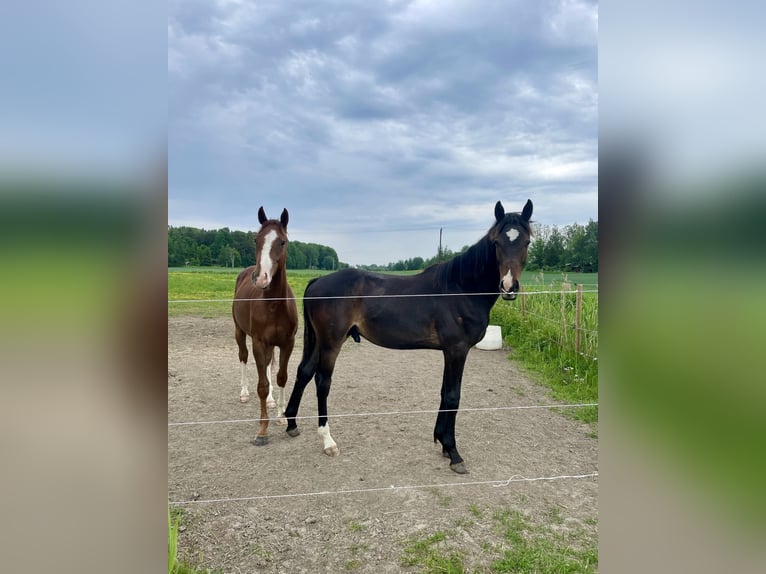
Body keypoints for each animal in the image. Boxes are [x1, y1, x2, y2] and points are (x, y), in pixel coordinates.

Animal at [232, 206, 298, 446]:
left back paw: (271, 402)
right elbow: (261, 385)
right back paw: (243, 393)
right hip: (240, 333)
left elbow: (280, 377)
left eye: (282, 242)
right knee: (243, 356)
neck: (274, 305)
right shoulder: (259, 343)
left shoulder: (287, 343)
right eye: (256, 239)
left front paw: (282, 417)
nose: (261, 278)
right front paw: (262, 430)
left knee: (269, 365)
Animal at [284, 200, 536, 474]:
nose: (509, 286)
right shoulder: (457, 349)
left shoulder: (450, 352)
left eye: (526, 242)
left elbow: (444, 392)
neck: (461, 288)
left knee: (304, 372)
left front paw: (442, 442)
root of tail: (318, 280)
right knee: (322, 382)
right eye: (497, 242)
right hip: (331, 343)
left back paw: (291, 423)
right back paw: (328, 441)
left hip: (319, 341)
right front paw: (454, 453)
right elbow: (453, 395)